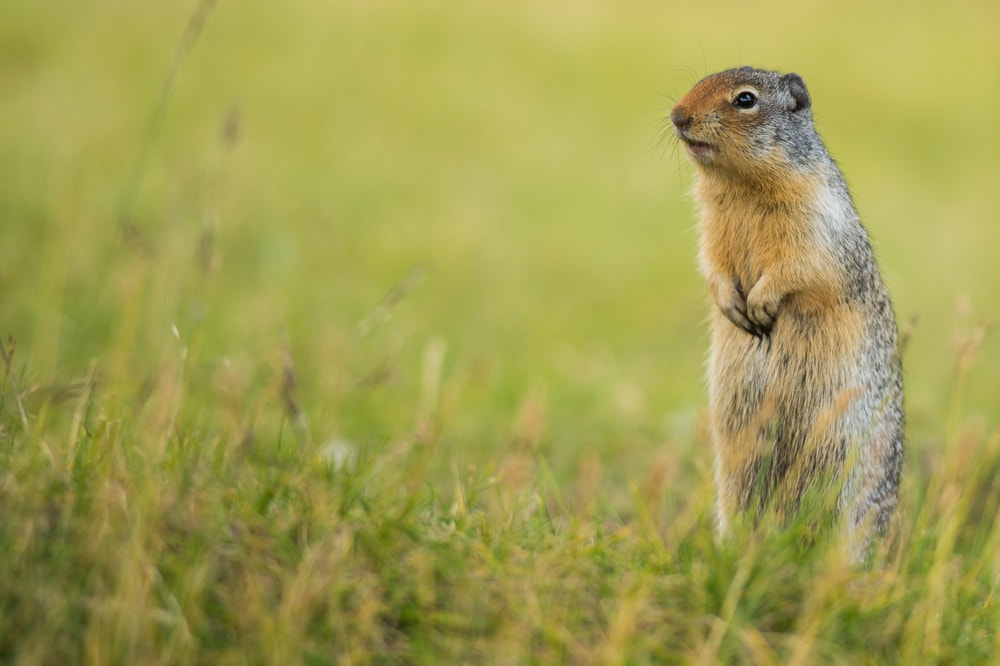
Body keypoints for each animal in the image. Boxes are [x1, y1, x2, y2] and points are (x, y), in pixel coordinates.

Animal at [672, 67, 908, 556]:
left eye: (745, 99)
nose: (677, 116)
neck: (739, 185)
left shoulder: (815, 221)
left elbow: (797, 266)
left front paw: (762, 304)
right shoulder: (710, 226)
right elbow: (712, 262)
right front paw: (733, 305)